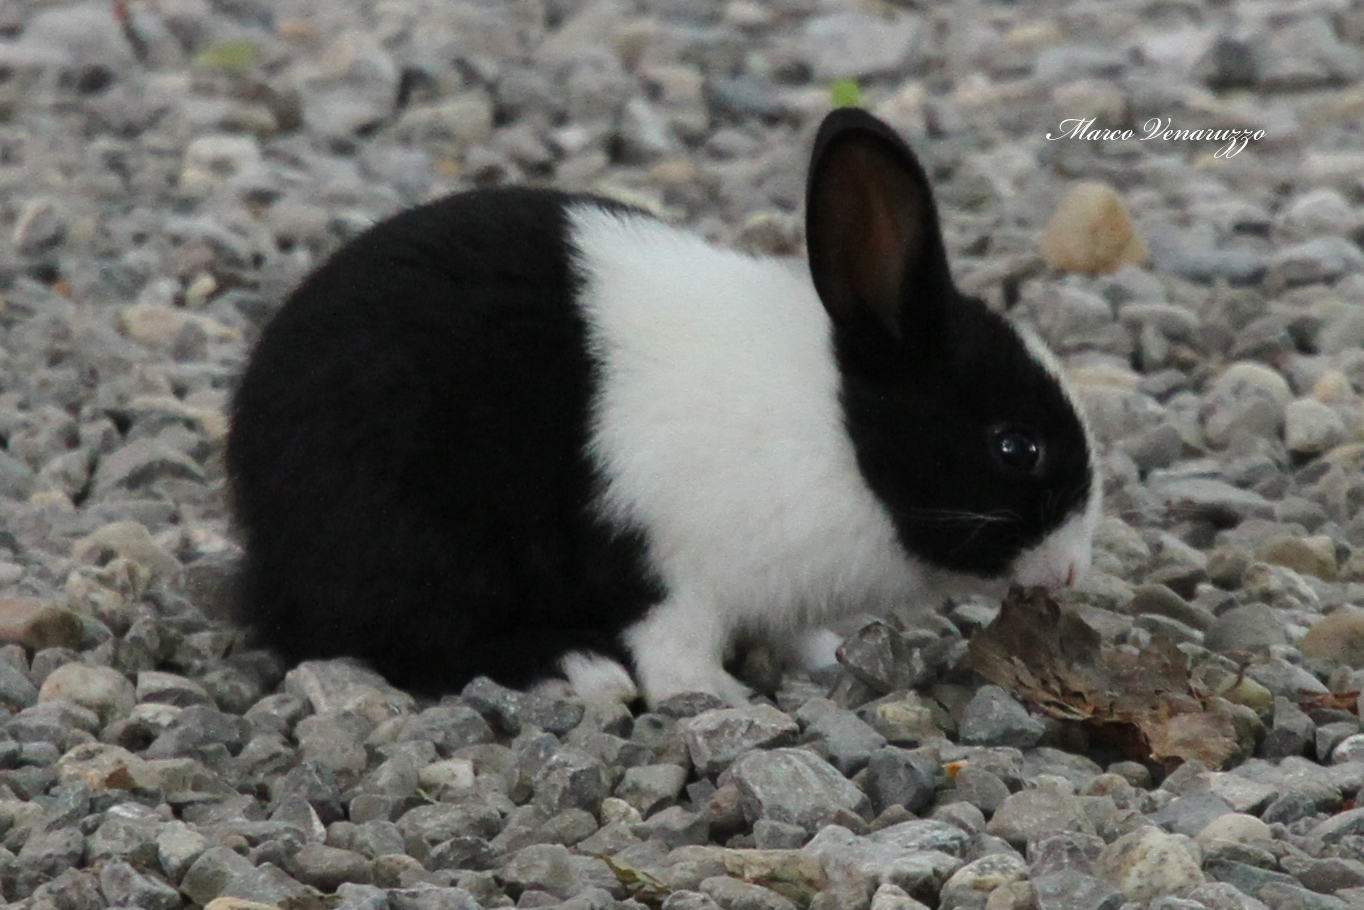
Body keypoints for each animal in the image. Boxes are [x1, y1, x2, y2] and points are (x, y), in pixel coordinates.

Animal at [226, 106, 1101, 708]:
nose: (1069, 569)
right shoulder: (670, 575)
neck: (836, 432)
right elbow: (674, 648)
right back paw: (574, 668)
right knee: (412, 643)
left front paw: (825, 659)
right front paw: (715, 698)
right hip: (410, 546)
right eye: (1016, 446)